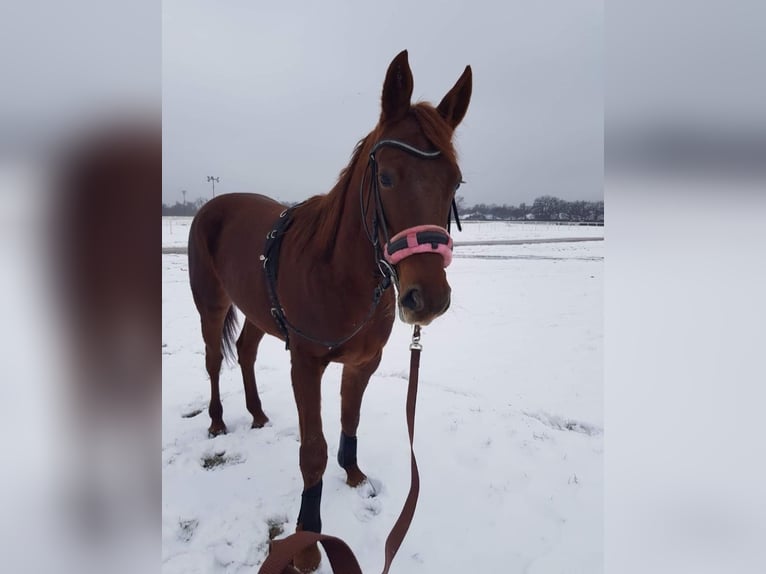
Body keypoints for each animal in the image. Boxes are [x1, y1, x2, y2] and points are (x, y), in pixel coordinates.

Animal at [189, 51, 472, 572]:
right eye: (386, 176)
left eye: (455, 182)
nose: (427, 298)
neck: (338, 271)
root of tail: (213, 206)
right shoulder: (306, 364)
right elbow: (313, 451)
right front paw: (308, 541)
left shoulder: (363, 363)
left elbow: (350, 420)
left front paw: (355, 475)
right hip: (211, 304)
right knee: (215, 358)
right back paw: (218, 421)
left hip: (257, 313)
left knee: (246, 351)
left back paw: (257, 414)